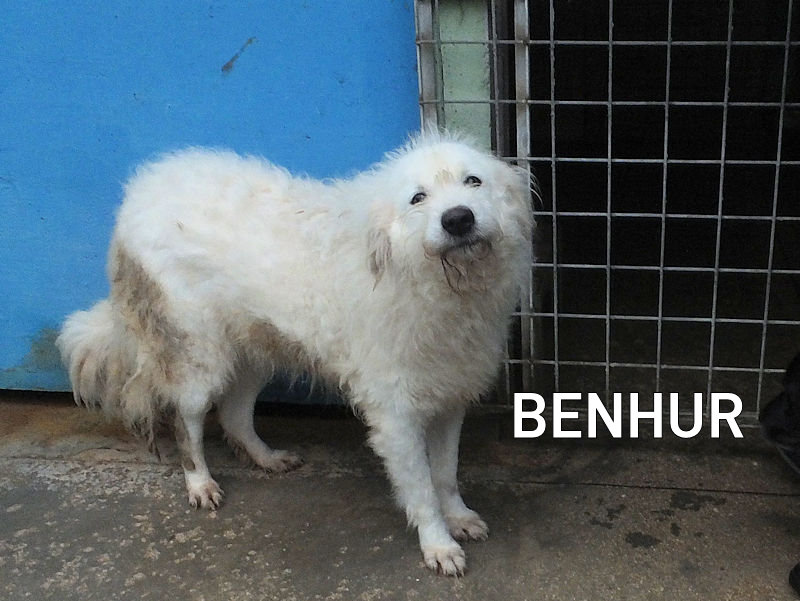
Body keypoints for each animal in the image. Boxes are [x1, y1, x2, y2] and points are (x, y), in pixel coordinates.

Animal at [57, 131, 534, 575]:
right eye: (418, 198)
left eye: (473, 181)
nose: (458, 219)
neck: (434, 283)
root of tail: (141, 188)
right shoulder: (396, 417)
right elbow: (421, 491)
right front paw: (438, 545)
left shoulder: (450, 398)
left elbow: (446, 475)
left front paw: (459, 518)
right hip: (198, 359)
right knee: (186, 422)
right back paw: (200, 483)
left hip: (255, 352)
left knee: (234, 415)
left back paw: (266, 458)